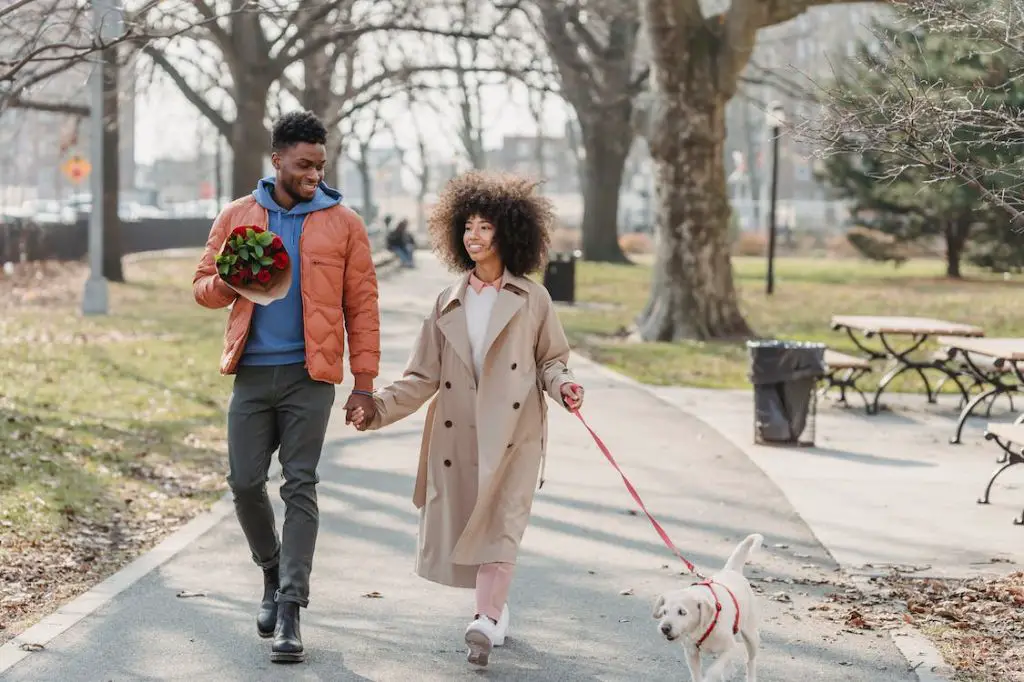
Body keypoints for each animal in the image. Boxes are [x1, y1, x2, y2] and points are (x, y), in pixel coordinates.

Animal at [651, 532, 765, 679]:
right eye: (664, 612)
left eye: (682, 612)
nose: (665, 628)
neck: (703, 627)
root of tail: (732, 570)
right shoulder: (691, 653)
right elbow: (696, 675)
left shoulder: (730, 647)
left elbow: (714, 670)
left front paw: (711, 676)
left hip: (751, 636)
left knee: (750, 661)